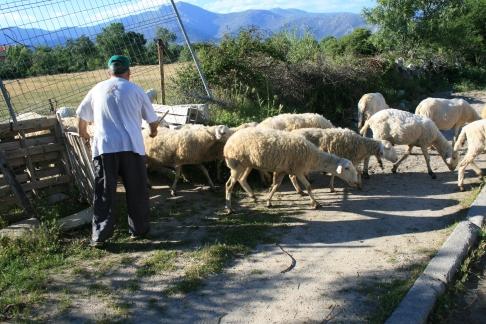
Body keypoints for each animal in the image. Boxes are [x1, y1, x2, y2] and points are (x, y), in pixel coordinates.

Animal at [222, 128, 358, 214]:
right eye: (347, 168)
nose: (356, 182)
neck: (313, 157)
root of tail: (229, 141)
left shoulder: (282, 169)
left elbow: (276, 186)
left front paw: (268, 201)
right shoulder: (298, 170)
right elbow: (308, 187)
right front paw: (315, 203)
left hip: (247, 164)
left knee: (242, 179)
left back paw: (253, 196)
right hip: (237, 165)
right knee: (229, 185)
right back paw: (229, 209)